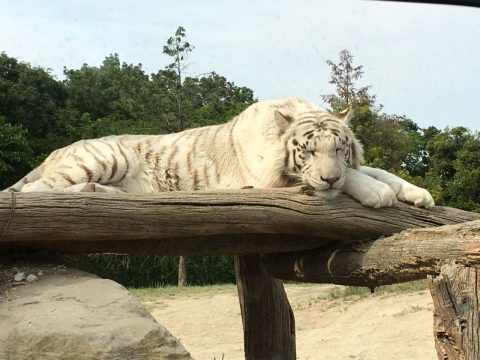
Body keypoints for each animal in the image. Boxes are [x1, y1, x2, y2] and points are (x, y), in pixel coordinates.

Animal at [1, 97, 436, 210]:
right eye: (307, 153)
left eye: (340, 148)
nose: (329, 175)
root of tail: (55, 150)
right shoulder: (269, 181)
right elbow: (357, 179)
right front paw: (377, 194)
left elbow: (376, 169)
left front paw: (418, 194)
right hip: (106, 157)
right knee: (38, 191)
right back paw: (86, 192)